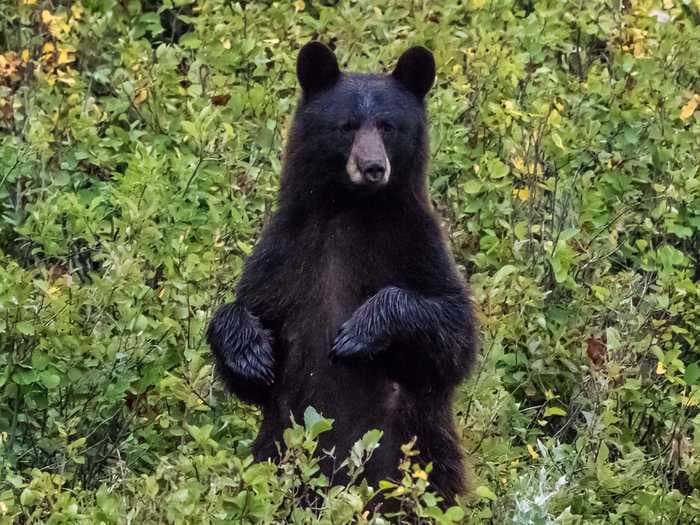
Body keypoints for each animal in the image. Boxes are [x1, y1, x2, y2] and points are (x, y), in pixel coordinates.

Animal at [208, 43, 478, 502]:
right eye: (347, 125)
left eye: (388, 125)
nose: (373, 167)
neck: (352, 209)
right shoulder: (287, 249)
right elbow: (250, 316)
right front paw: (251, 352)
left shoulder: (416, 244)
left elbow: (453, 334)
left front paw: (359, 331)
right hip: (275, 451)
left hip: (417, 459)